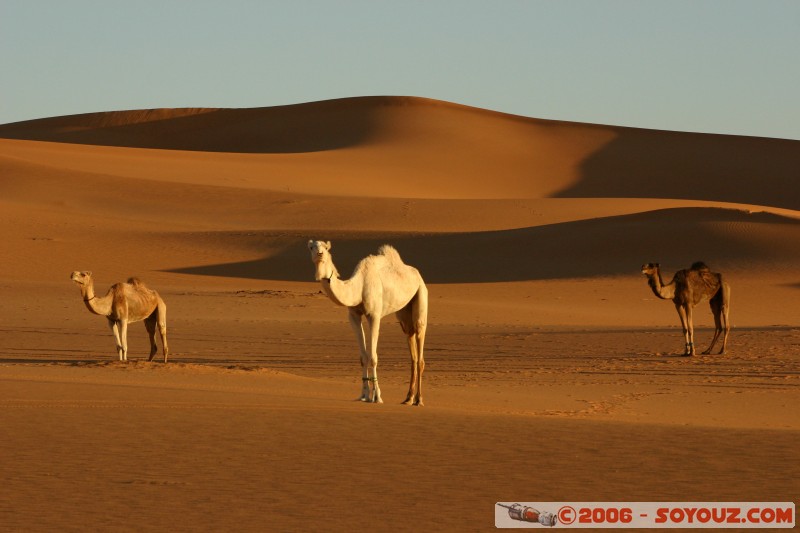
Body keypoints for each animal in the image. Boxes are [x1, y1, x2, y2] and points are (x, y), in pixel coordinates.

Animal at [308, 240, 428, 405]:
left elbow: (373, 357)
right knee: (410, 340)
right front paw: (364, 394)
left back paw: (419, 399)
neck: (359, 286)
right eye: (311, 247)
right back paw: (408, 398)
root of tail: (417, 274)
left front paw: (377, 396)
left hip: (421, 294)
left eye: (326, 248)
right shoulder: (353, 316)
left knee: (419, 335)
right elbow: (363, 357)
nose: (319, 254)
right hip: (404, 312)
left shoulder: (374, 315)